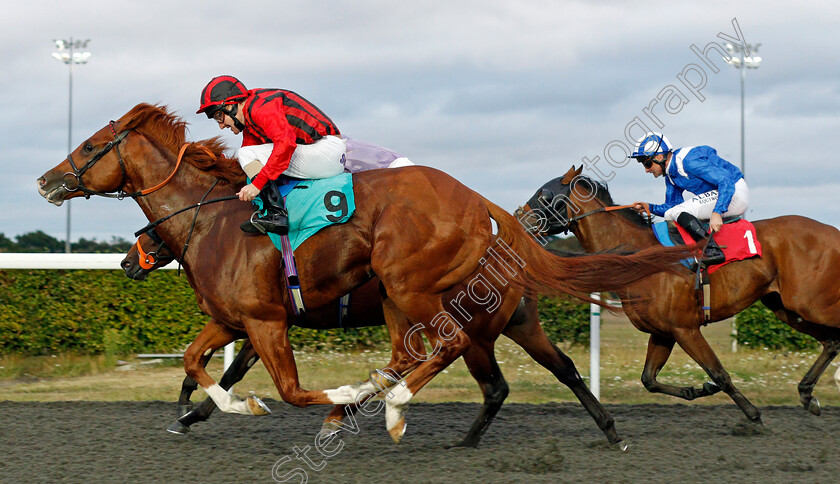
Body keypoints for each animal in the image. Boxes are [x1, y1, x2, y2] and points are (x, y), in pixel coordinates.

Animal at [37, 104, 696, 444]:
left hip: (418, 292)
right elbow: (197, 362)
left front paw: (340, 398)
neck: (214, 218)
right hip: (481, 315)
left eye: (91, 146)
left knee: (455, 357)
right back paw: (606, 429)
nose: (46, 181)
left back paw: (392, 403)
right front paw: (209, 409)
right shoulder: (235, 319)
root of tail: (484, 210)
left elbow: (284, 386)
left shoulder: (265, 320)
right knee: (540, 370)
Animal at [516, 166, 840, 424]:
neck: (640, 255)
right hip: (788, 309)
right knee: (831, 342)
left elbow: (719, 373)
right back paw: (807, 395)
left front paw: (753, 415)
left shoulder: (686, 329)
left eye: (544, 195)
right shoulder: (663, 332)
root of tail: (832, 231)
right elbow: (649, 379)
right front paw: (697, 389)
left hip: (811, 303)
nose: (519, 219)